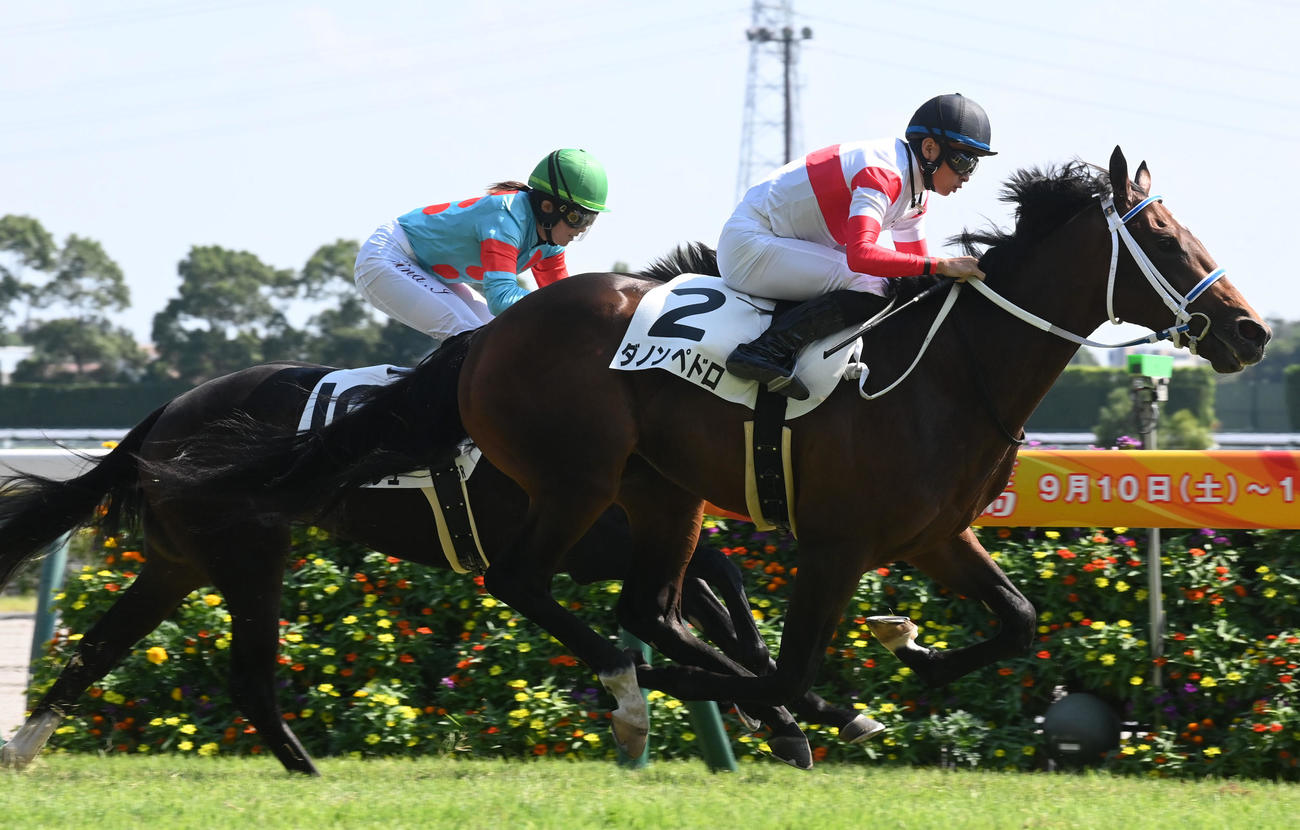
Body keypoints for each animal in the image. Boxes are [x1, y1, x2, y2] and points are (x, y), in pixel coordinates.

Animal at [0, 351, 868, 776]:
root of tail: (167, 415)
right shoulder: (598, 547)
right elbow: (700, 599)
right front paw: (788, 713)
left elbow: (718, 596)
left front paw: (785, 714)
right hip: (251, 552)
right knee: (246, 674)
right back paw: (305, 767)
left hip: (177, 561)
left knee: (97, 648)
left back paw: (24, 748)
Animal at [136, 147, 1270, 760]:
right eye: (1165, 240)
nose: (1252, 333)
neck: (949, 372)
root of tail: (488, 342)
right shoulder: (835, 543)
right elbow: (802, 658)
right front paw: (818, 707)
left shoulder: (936, 536)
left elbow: (1018, 621)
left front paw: (905, 653)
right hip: (579, 477)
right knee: (529, 579)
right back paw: (645, 689)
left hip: (660, 494)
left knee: (648, 604)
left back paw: (671, 681)